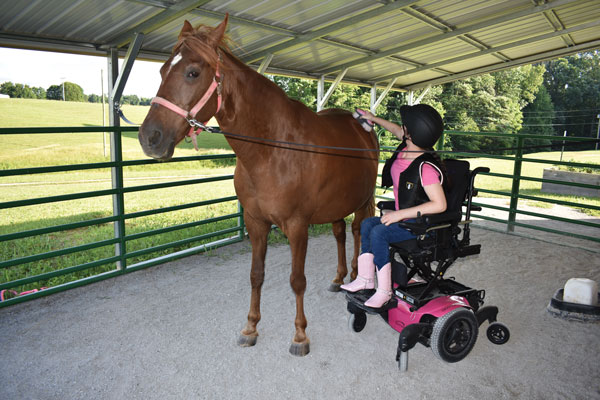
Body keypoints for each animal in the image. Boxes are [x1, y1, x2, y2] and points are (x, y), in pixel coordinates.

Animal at [138, 14, 378, 356]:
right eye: (161, 71)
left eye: (192, 72)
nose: (150, 137)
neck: (272, 150)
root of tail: (363, 127)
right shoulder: (256, 223)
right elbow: (256, 275)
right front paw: (251, 327)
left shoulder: (297, 226)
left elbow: (297, 280)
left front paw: (300, 335)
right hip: (337, 204)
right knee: (340, 232)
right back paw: (340, 277)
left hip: (363, 201)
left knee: (359, 231)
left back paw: (359, 277)